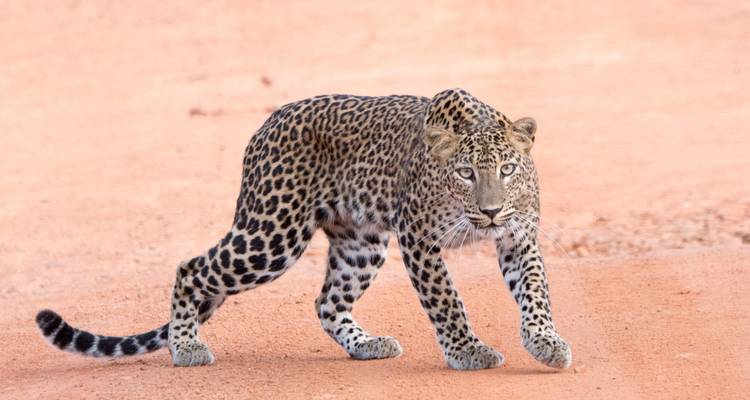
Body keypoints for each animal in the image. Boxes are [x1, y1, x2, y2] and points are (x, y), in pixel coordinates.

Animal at [36, 88, 572, 370]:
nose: (490, 212)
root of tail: (266, 123)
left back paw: (366, 345)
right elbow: (447, 301)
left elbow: (536, 293)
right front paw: (468, 351)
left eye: (507, 169)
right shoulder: (419, 238)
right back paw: (186, 346)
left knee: (327, 302)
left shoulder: (518, 237)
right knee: (191, 268)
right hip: (271, 235)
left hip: (360, 245)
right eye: (465, 173)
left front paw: (546, 342)